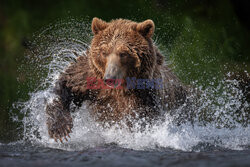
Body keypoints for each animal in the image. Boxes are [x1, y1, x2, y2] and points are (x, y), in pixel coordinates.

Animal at [46, 17, 188, 142]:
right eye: (104, 52)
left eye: (123, 53)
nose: (110, 78)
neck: (120, 88)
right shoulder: (90, 77)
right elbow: (66, 84)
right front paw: (60, 129)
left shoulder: (146, 96)